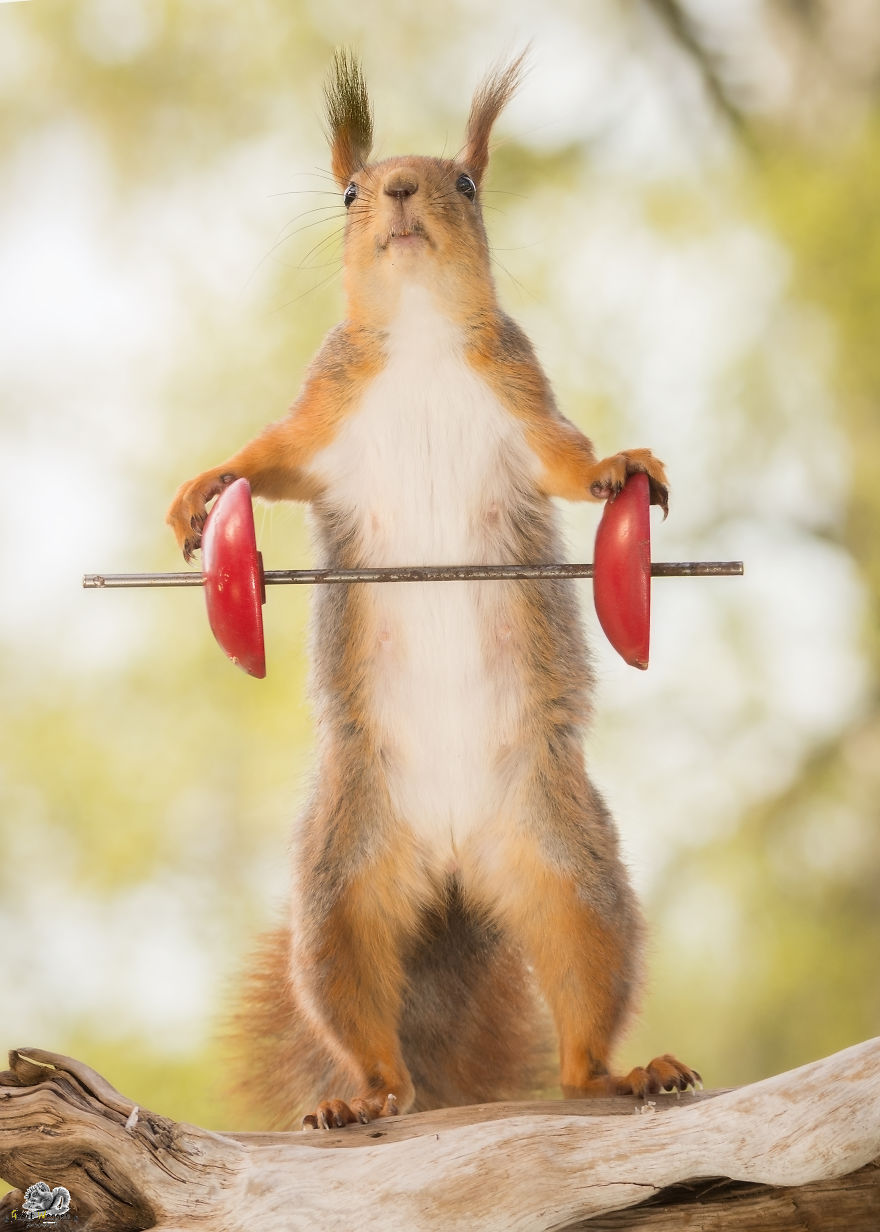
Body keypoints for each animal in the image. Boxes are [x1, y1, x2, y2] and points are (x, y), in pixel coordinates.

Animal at [167, 50, 699, 1130]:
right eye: (349, 191)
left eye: (464, 183)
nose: (404, 191)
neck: (415, 336)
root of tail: (455, 866)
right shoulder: (318, 417)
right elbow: (262, 458)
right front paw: (203, 487)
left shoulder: (524, 399)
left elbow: (571, 463)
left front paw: (626, 463)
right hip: (339, 893)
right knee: (368, 1029)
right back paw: (359, 1098)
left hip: (571, 874)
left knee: (582, 1018)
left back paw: (623, 1072)